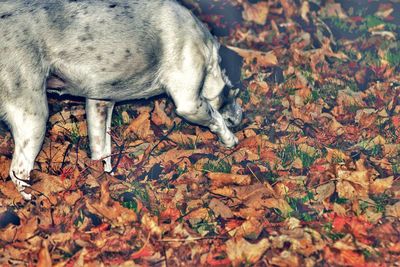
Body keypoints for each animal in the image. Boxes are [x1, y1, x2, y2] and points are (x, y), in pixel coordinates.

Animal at [0, 0, 242, 201]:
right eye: (234, 92)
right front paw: (230, 139)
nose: (241, 117)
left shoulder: (99, 103)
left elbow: (102, 153)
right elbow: (216, 117)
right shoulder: (189, 103)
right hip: (34, 119)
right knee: (19, 171)